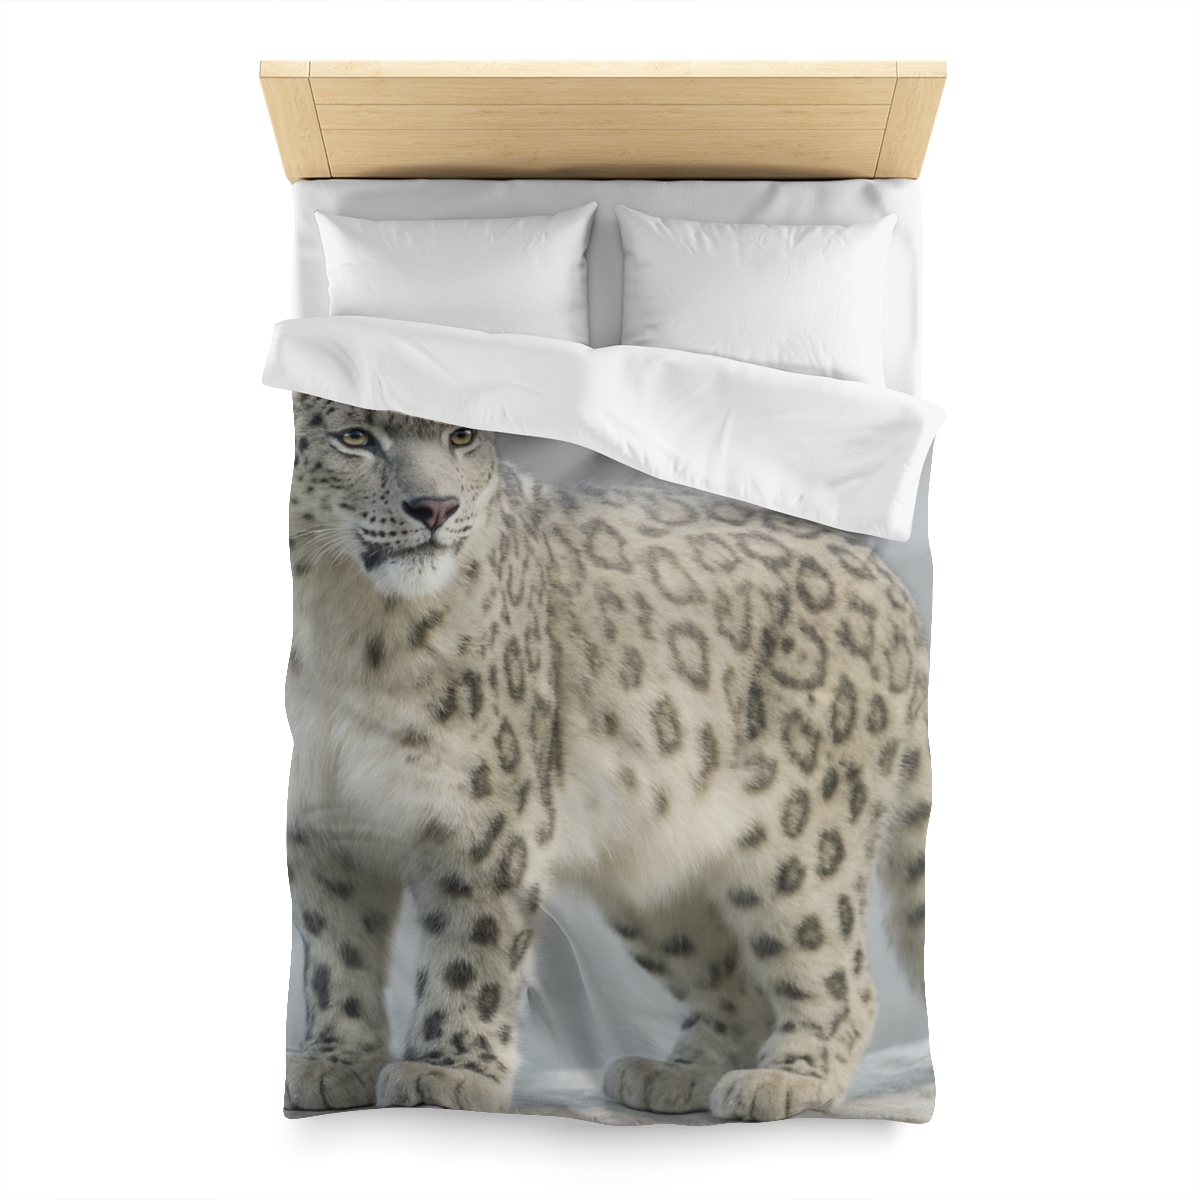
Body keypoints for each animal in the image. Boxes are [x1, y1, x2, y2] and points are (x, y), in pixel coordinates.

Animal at [282, 393, 931, 1122]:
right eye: (354, 436)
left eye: (462, 436)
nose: (437, 507)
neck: (344, 628)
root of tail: (892, 583)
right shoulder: (323, 827)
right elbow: (336, 949)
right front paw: (333, 1063)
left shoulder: (483, 816)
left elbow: (469, 946)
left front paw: (446, 1073)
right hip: (654, 884)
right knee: (735, 982)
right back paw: (674, 1074)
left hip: (803, 843)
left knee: (836, 970)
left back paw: (786, 1078)